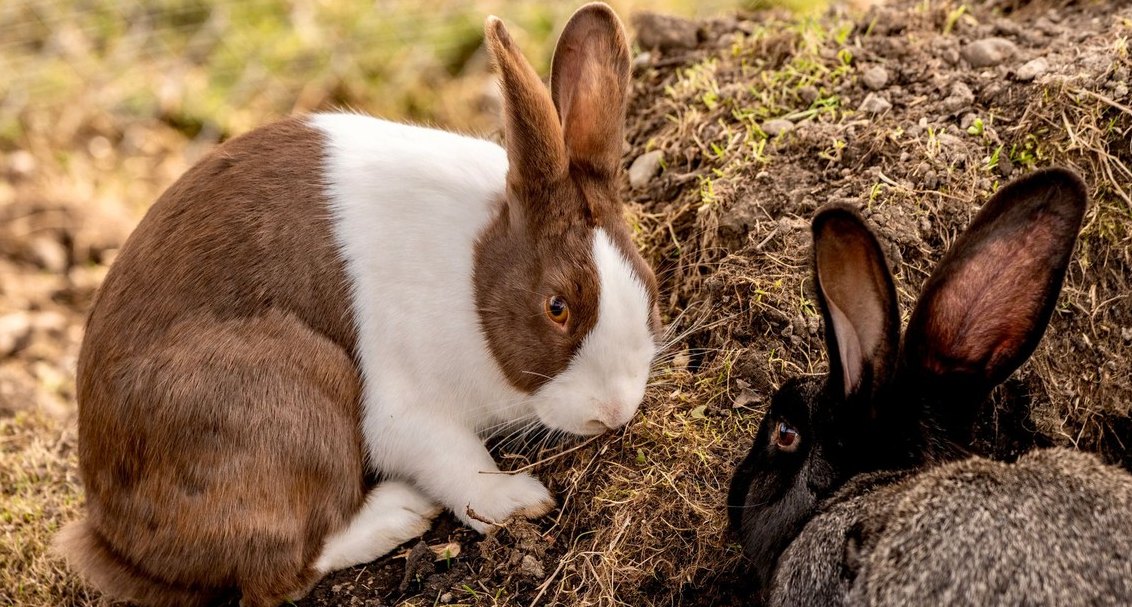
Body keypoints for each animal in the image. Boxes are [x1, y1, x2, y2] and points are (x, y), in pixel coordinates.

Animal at [53, 4, 661, 606]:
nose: (614, 412)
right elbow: (457, 462)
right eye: (557, 307)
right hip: (285, 395)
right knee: (279, 571)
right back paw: (401, 513)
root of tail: (115, 541)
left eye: (649, 283)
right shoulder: (407, 409)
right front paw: (517, 502)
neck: (474, 272)